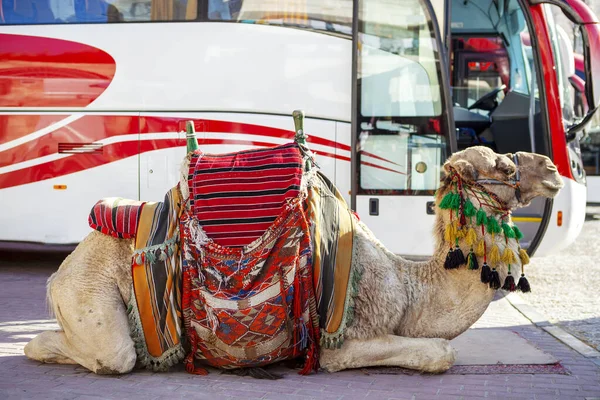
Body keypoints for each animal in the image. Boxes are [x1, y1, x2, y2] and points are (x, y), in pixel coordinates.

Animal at [23, 145, 564, 376]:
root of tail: (59, 272)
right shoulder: (344, 338)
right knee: (110, 356)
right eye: (504, 166)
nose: (555, 169)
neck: (409, 287)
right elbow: (439, 353)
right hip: (89, 291)